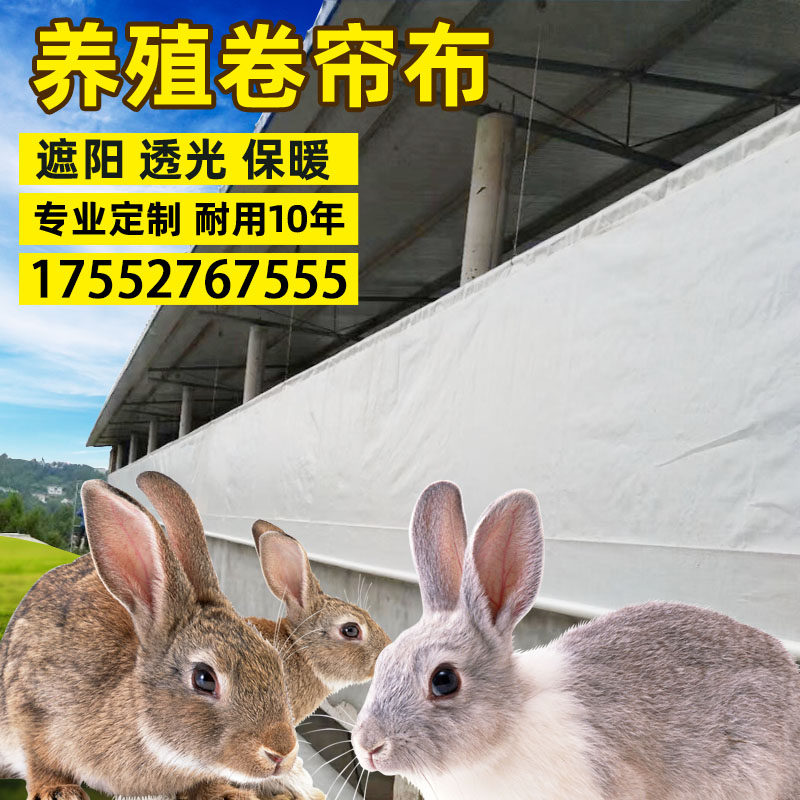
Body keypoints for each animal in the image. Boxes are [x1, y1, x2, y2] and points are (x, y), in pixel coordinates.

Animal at [0, 472, 299, 800]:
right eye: (204, 679)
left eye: (276, 662)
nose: (281, 752)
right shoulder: (32, 705)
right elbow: (41, 759)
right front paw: (58, 791)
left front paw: (227, 793)